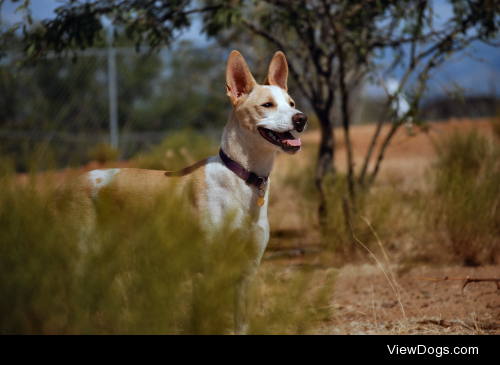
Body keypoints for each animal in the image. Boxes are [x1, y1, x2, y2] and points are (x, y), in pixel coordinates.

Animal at [53, 50, 304, 332]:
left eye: (292, 103)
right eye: (267, 105)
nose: (301, 118)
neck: (242, 178)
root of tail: (61, 188)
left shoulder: (246, 273)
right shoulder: (204, 271)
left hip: (103, 266)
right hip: (80, 266)